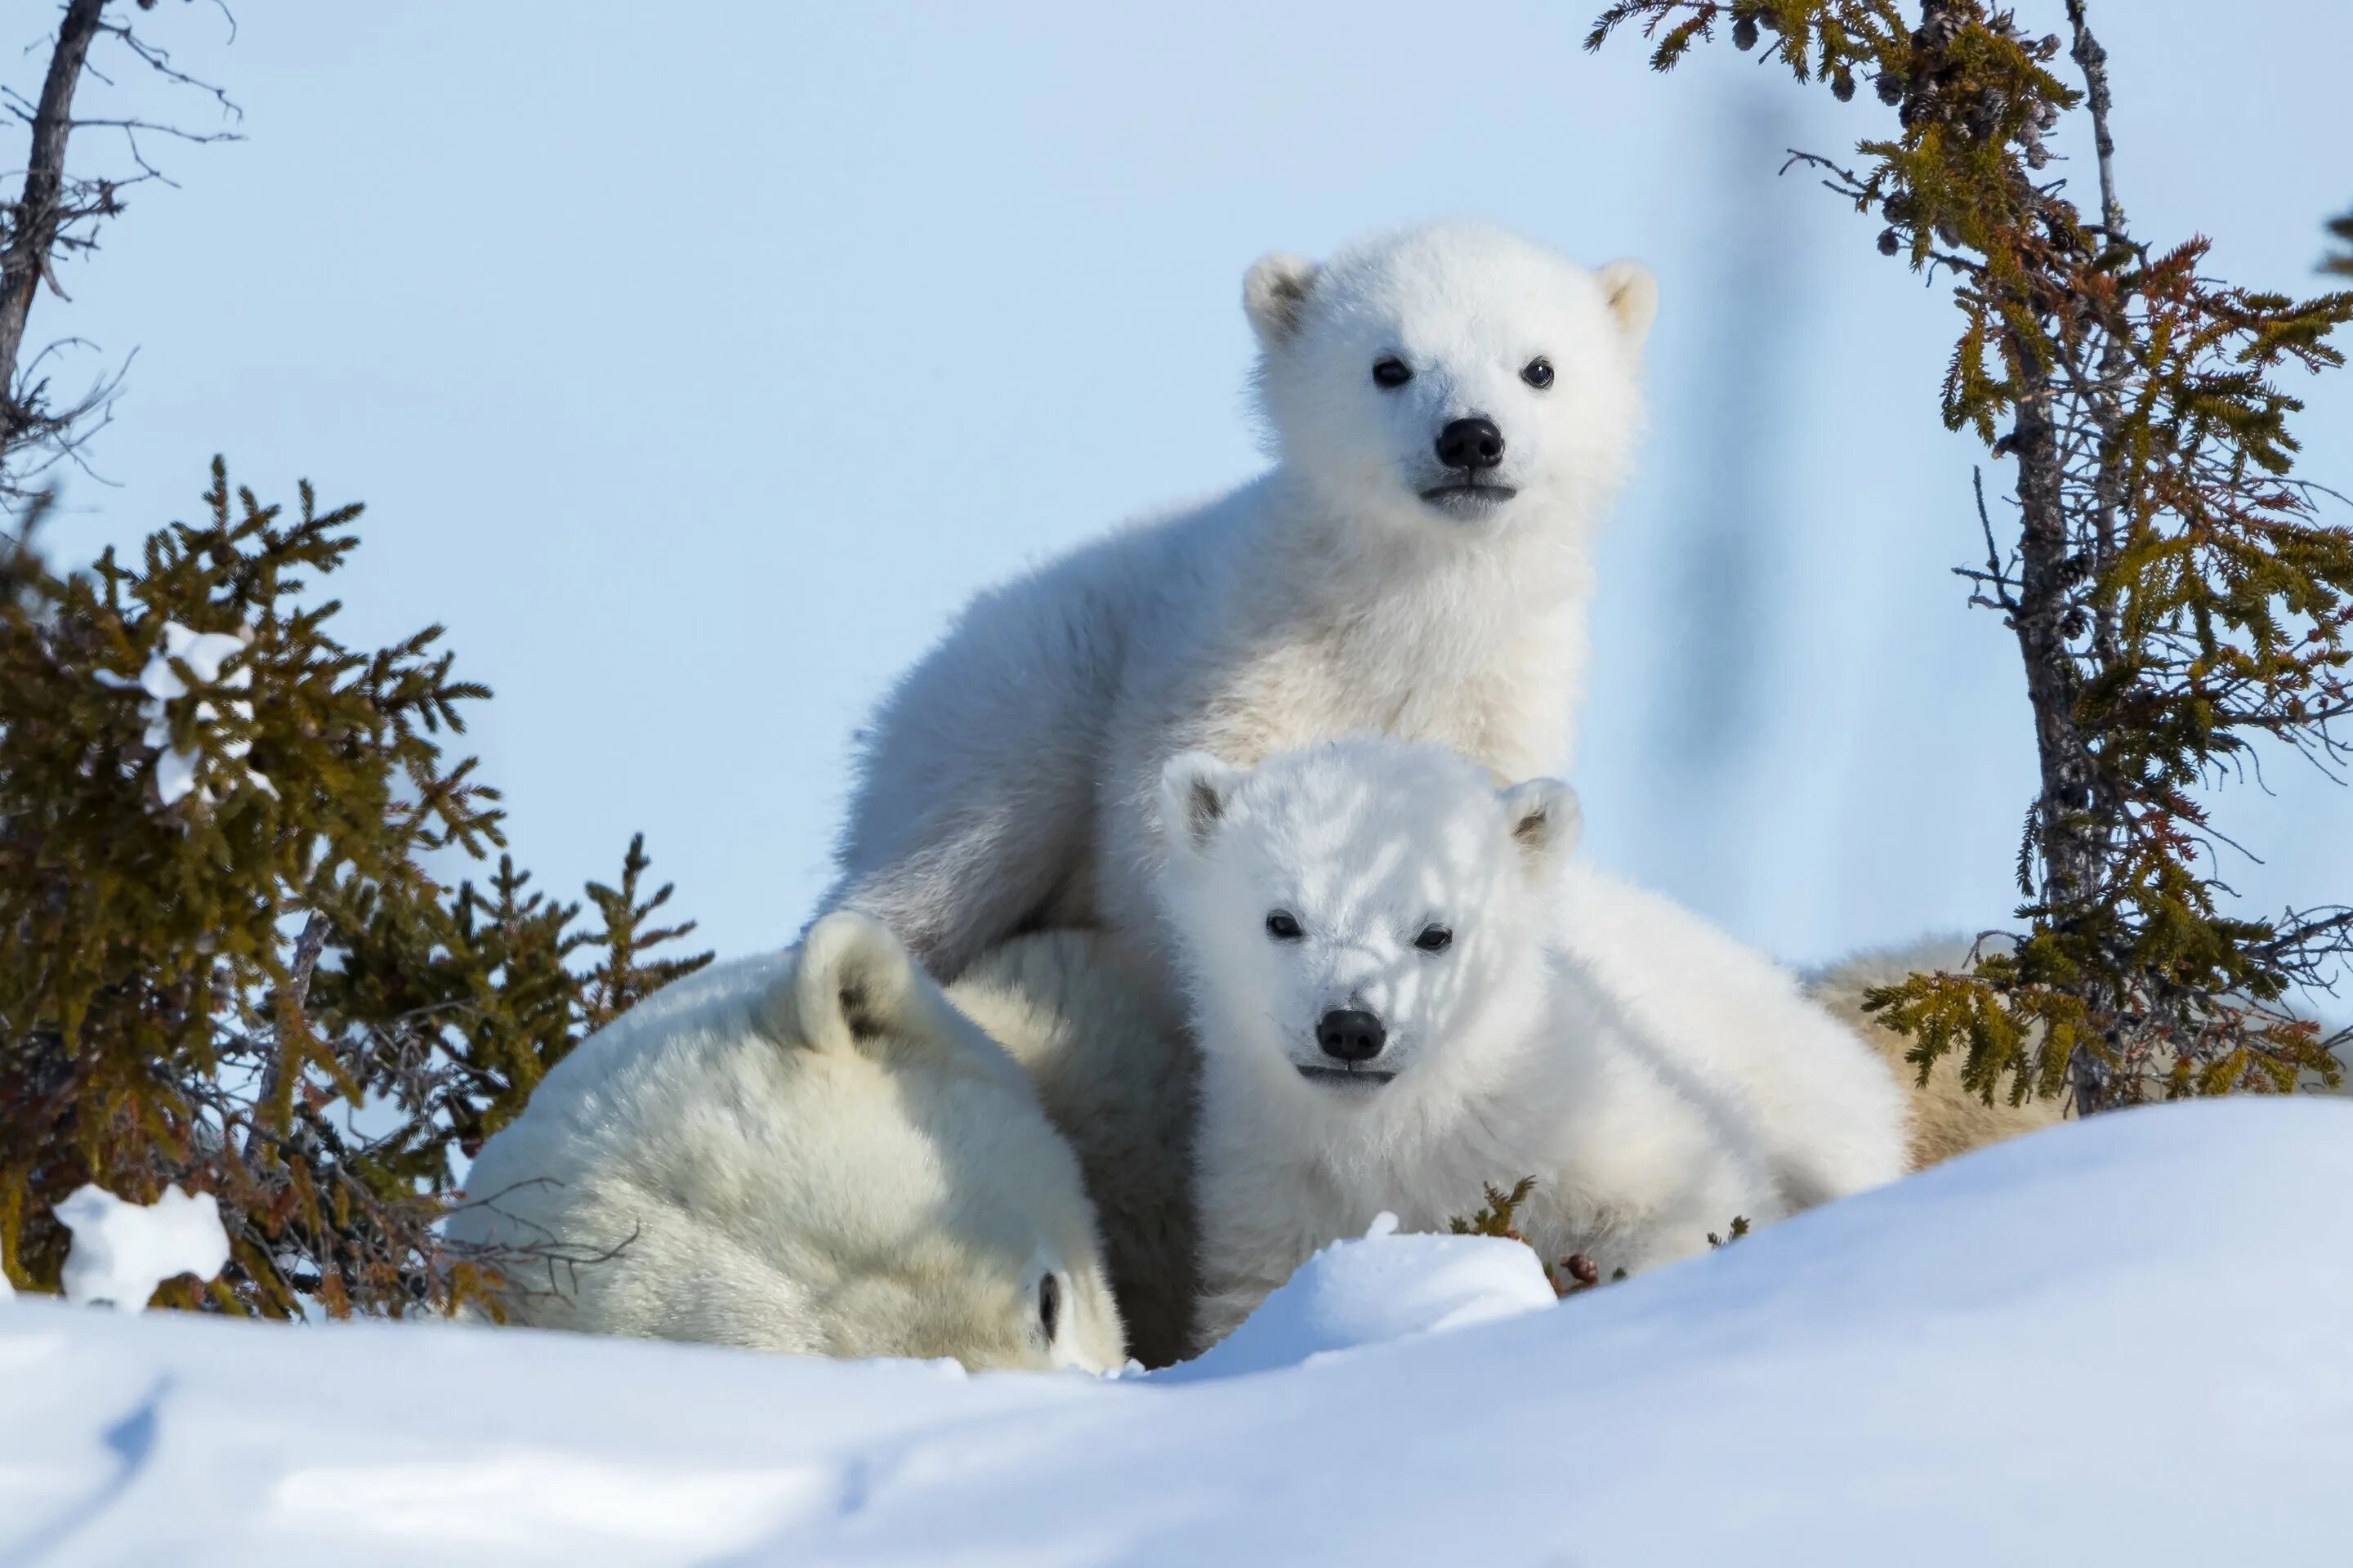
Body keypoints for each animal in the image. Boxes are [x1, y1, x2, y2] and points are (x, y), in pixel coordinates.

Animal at [824, 222, 1656, 1003]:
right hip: (1026, 689)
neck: (1408, 605)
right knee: (954, 852)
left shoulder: (1500, 698)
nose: (1472, 438)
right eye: (1389, 366)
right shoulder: (1239, 663)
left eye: (1540, 368)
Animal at [1167, 734, 1788, 1347]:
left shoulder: (1578, 1108)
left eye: (1435, 933)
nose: (1352, 1029)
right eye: (1282, 921)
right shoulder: (1271, 1188)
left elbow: (1689, 1198)